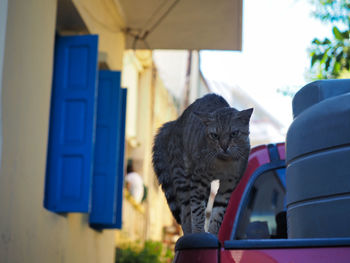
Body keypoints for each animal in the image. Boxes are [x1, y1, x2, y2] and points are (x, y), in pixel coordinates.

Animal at [152, 94, 253, 236]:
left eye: (234, 133)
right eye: (215, 135)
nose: (224, 146)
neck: (223, 163)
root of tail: (174, 123)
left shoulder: (228, 185)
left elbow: (218, 213)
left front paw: (213, 234)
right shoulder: (199, 179)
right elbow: (197, 211)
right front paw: (199, 232)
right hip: (182, 177)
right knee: (185, 212)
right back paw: (189, 234)